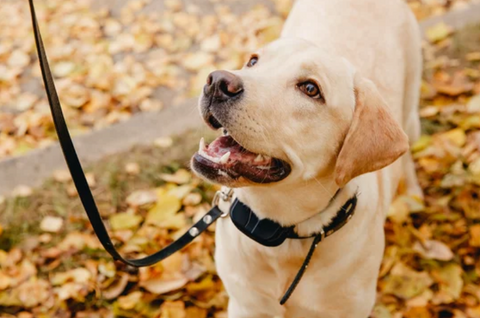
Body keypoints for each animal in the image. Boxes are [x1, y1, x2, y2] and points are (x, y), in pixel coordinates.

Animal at [189, 0, 422, 316]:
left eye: (311, 89)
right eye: (253, 61)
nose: (217, 81)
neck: (279, 232)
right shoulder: (244, 304)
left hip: (410, 111)